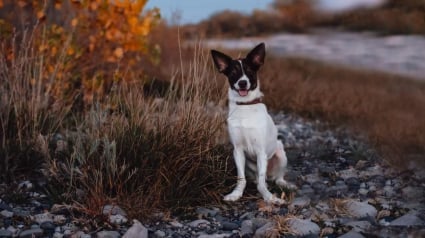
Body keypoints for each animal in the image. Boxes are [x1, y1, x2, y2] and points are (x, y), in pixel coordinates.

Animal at [210, 42, 290, 205]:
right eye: (233, 72)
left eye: (250, 71)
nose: (242, 83)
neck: (245, 106)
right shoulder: (238, 151)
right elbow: (241, 178)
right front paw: (236, 194)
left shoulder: (261, 152)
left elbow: (262, 183)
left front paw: (269, 197)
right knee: (256, 178)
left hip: (280, 154)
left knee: (275, 177)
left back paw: (282, 183)